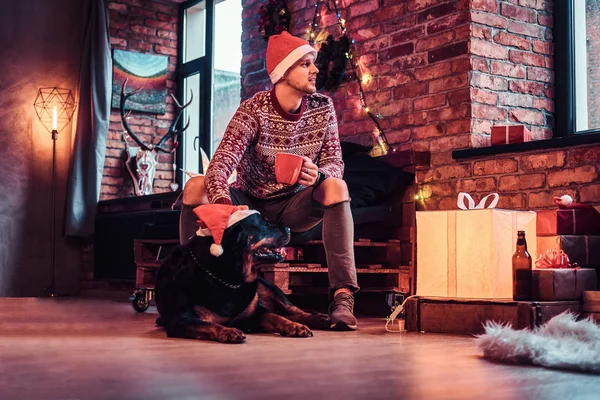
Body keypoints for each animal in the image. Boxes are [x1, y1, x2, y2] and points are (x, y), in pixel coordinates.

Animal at [152, 209, 326, 344]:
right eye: (264, 224)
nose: (289, 229)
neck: (228, 278)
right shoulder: (180, 319)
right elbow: (207, 324)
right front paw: (227, 331)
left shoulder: (255, 314)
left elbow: (276, 317)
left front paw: (293, 326)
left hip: (269, 287)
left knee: (293, 310)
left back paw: (319, 319)